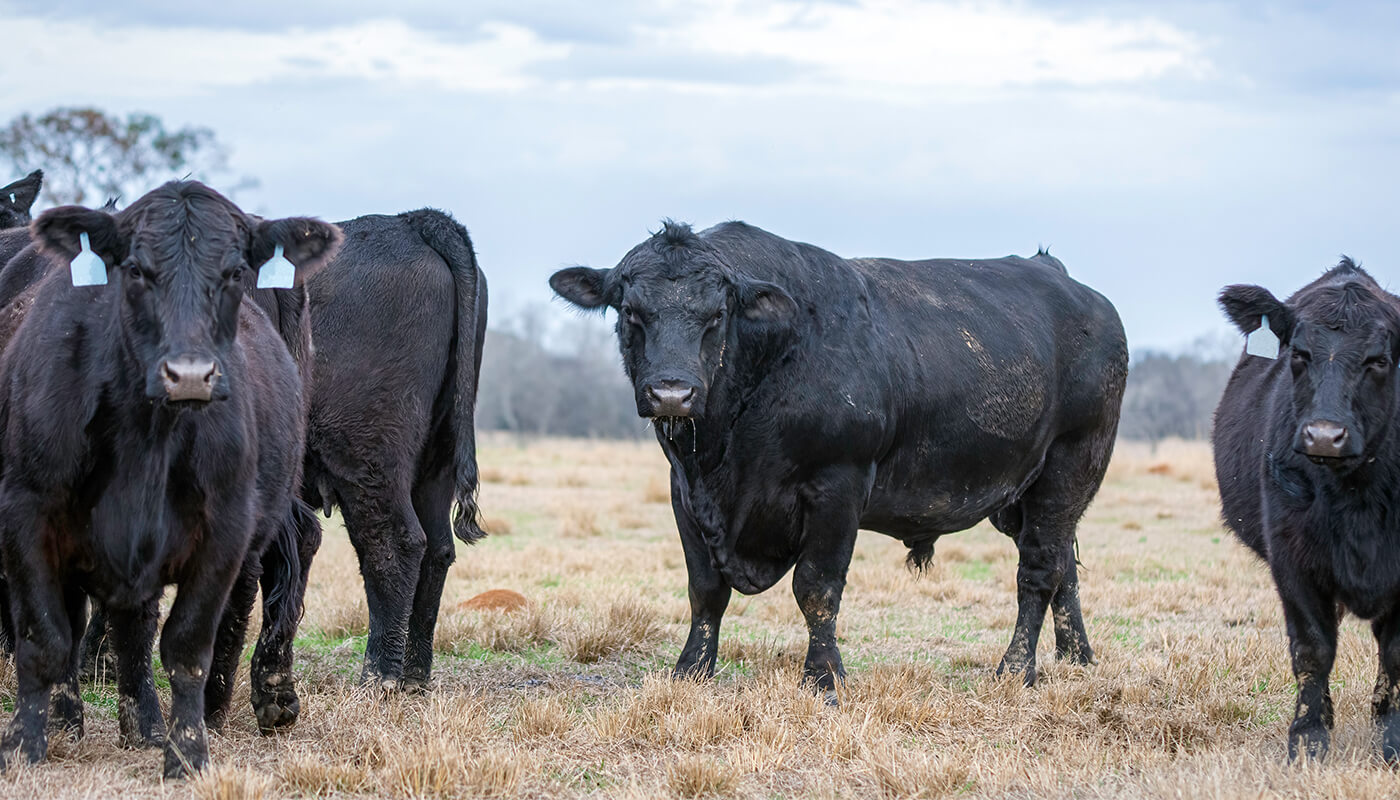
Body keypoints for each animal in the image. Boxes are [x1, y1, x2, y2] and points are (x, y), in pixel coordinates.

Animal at [0, 182, 338, 778]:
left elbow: (185, 647)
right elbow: (45, 638)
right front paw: (26, 747)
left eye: (234, 271)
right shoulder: (26, 516)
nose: (189, 375)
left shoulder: (223, 531)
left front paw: (187, 755)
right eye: (134, 269)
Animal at [551, 221, 1131, 694]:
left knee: (1038, 569)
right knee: (1063, 563)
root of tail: (1055, 273)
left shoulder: (838, 485)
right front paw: (690, 671)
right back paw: (1077, 658)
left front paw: (824, 678)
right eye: (631, 311)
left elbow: (817, 589)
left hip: (1071, 465)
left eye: (716, 314)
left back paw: (1016, 670)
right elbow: (706, 590)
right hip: (1020, 494)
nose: (672, 393)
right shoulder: (685, 492)